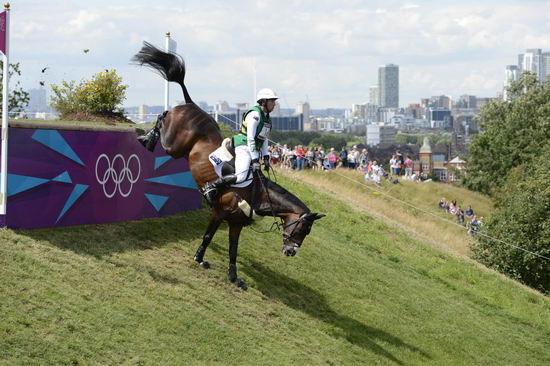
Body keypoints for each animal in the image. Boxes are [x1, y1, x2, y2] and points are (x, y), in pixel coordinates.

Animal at [132, 42, 326, 288]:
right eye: (302, 228)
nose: (291, 252)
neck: (258, 194)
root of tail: (191, 105)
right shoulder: (218, 212)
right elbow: (208, 235)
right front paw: (199, 259)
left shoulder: (236, 223)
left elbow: (234, 249)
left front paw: (234, 277)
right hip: (173, 146)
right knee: (162, 119)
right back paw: (146, 137)